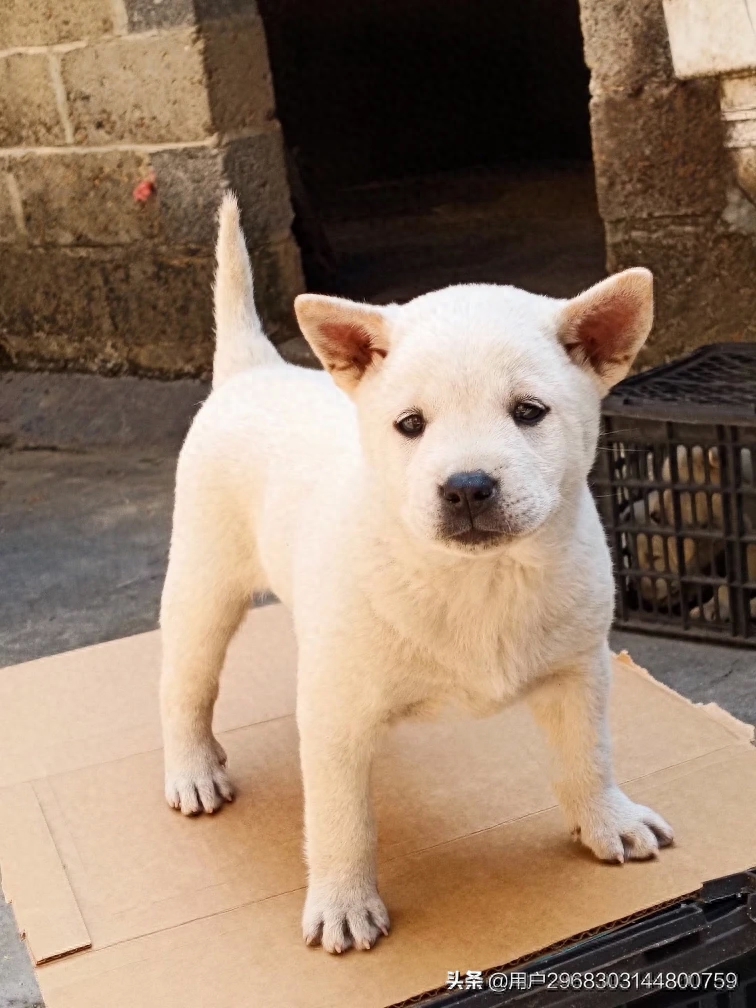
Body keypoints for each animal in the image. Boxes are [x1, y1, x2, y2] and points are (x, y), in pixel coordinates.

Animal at [160, 194, 673, 951]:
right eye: (410, 424)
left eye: (529, 412)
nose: (467, 488)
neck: (479, 579)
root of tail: (254, 370)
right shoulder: (336, 716)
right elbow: (341, 818)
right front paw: (343, 901)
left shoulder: (580, 671)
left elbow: (590, 752)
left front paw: (608, 819)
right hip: (204, 580)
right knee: (185, 684)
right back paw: (193, 768)